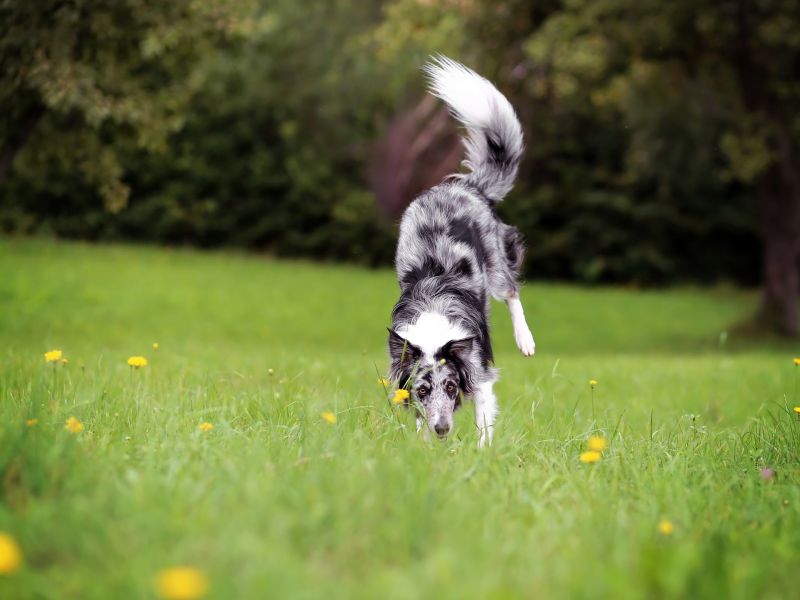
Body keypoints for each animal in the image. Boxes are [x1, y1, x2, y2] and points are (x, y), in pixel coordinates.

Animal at [390, 57, 536, 450]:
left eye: (452, 386)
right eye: (423, 390)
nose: (443, 429)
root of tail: (466, 186)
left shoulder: (480, 373)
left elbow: (484, 420)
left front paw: (482, 456)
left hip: (496, 261)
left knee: (512, 291)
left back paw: (526, 340)